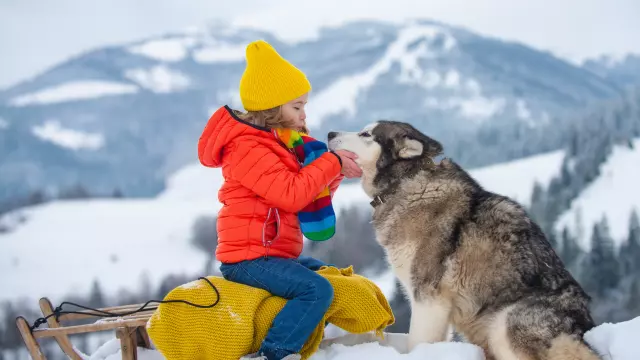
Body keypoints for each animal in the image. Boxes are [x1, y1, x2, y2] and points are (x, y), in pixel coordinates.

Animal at [330, 121, 600, 360]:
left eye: (366, 134)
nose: (330, 133)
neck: (406, 182)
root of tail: (584, 327)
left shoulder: (429, 297)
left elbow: (418, 342)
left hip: (503, 324)